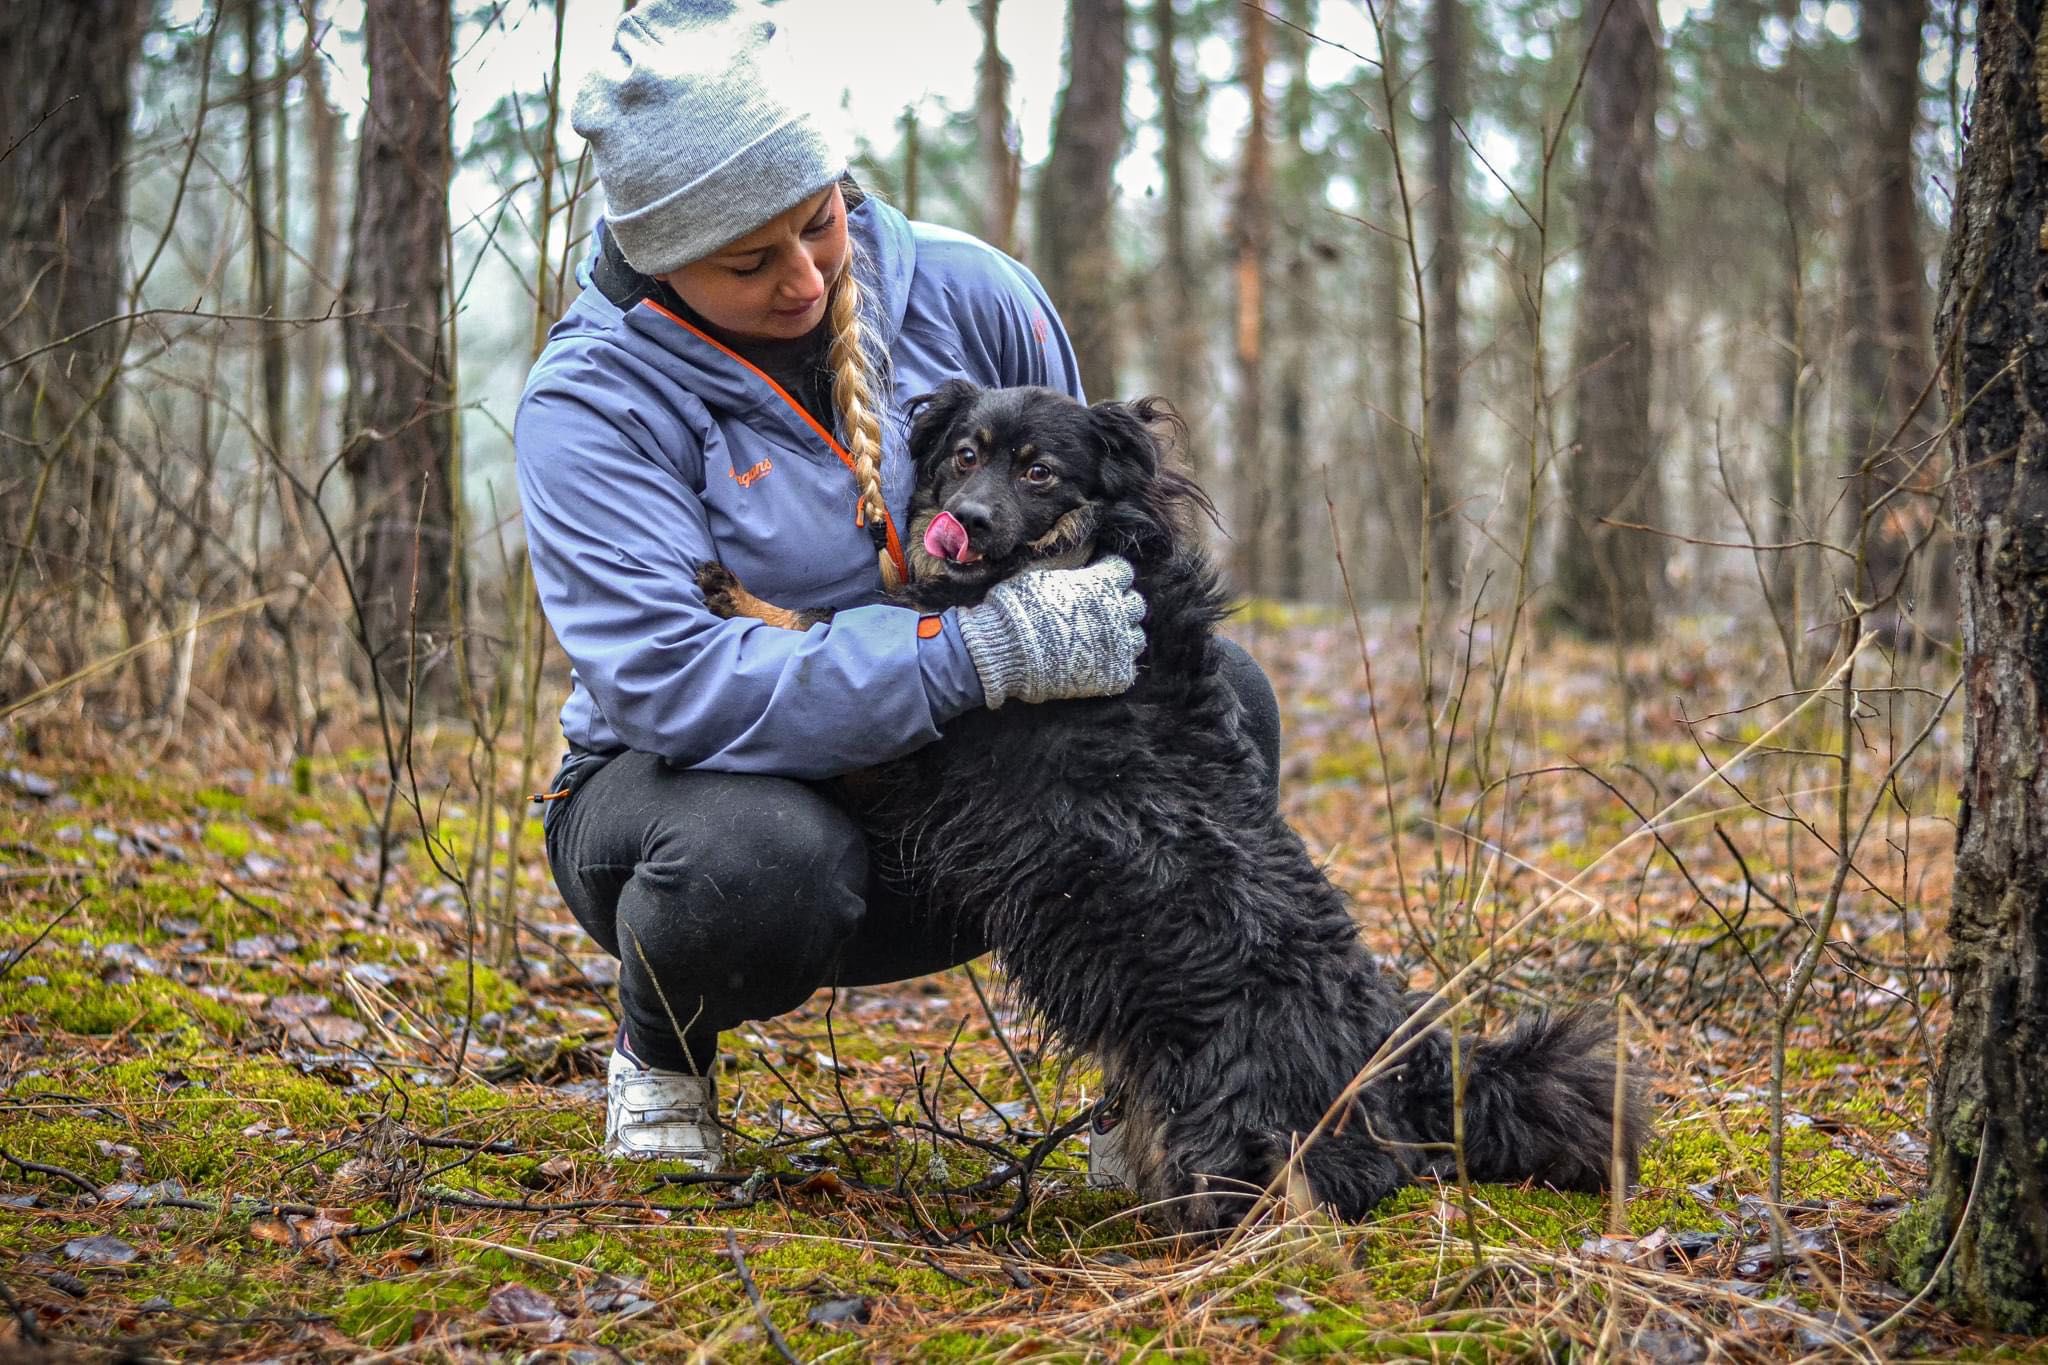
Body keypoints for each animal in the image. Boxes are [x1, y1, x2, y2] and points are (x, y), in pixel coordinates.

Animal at [704, 378, 1646, 1236]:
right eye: (964, 456)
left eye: (1040, 471)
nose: (963, 518)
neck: (1075, 556)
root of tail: (1404, 1057)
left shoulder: (917, 741)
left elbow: (825, 626)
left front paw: (744, 594)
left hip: (1231, 1121)